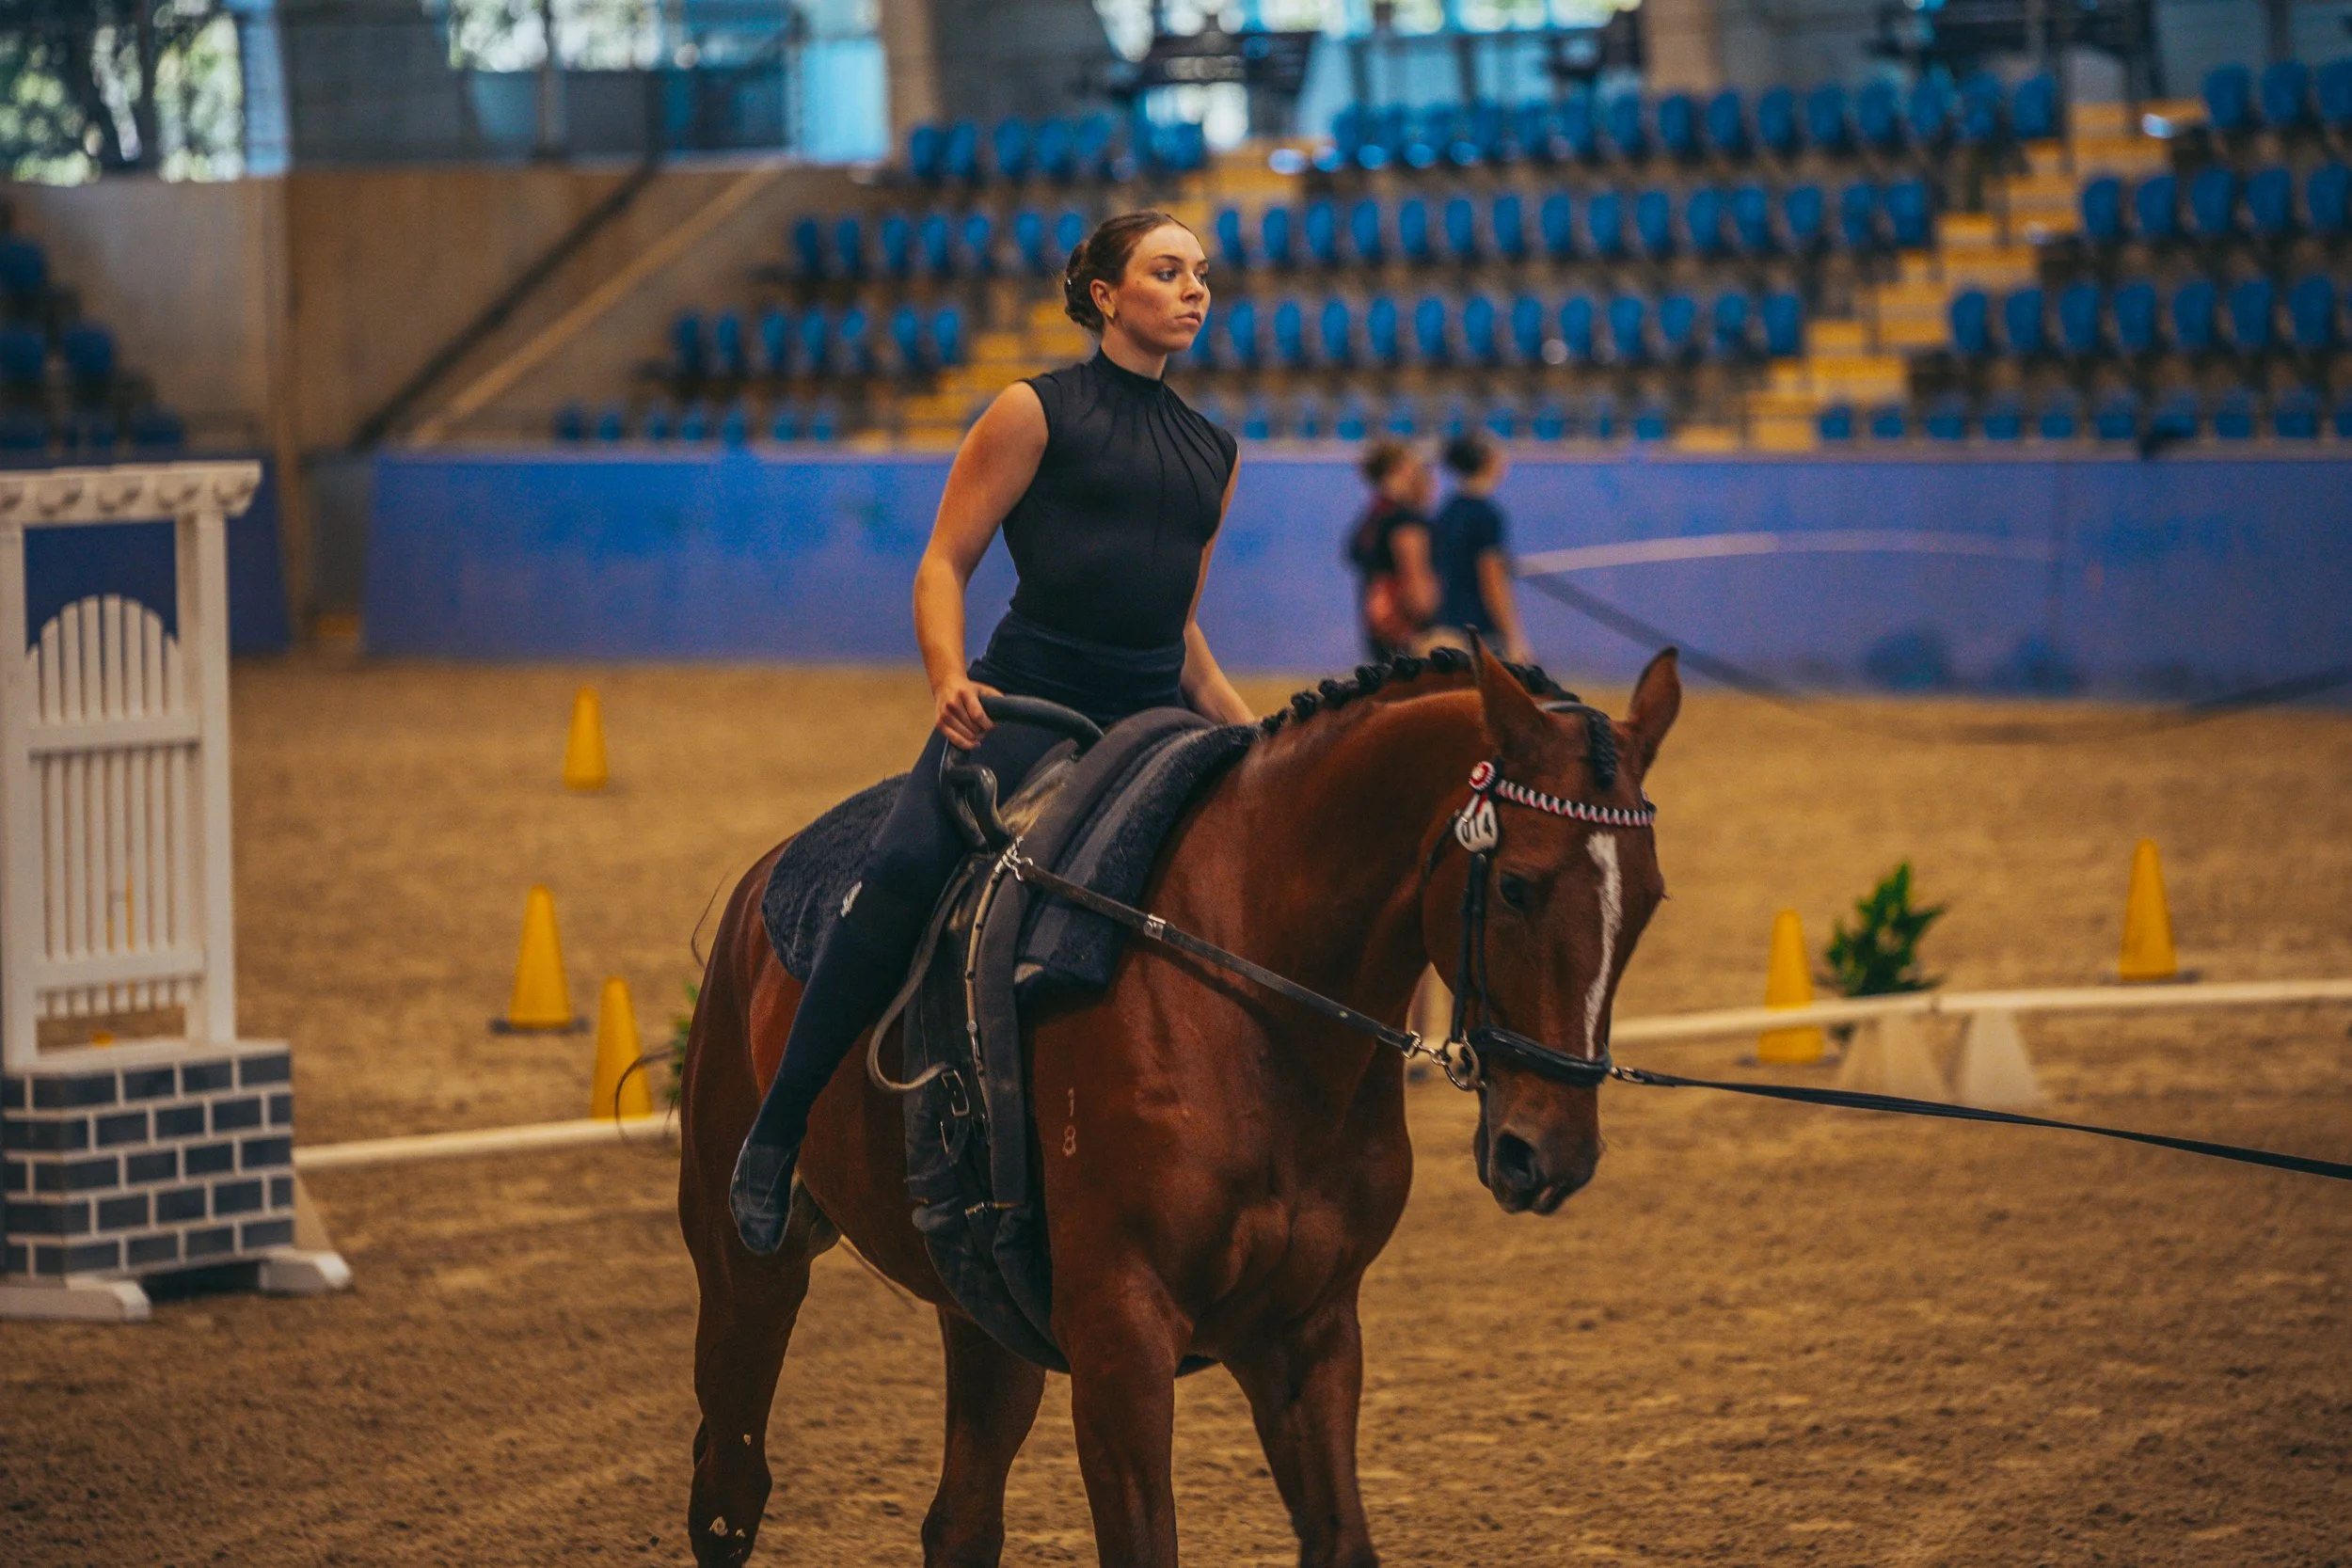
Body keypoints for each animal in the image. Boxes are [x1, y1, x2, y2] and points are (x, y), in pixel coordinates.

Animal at [677, 641, 1681, 1567]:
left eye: (1649, 899)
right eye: (1515, 885)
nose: (1549, 1153)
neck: (1251, 1002)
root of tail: (762, 882)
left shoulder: (1307, 1333)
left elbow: (1340, 1538)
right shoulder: (1122, 1342)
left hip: (985, 1322)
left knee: (958, 1522)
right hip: (746, 1276)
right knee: (730, 1493)